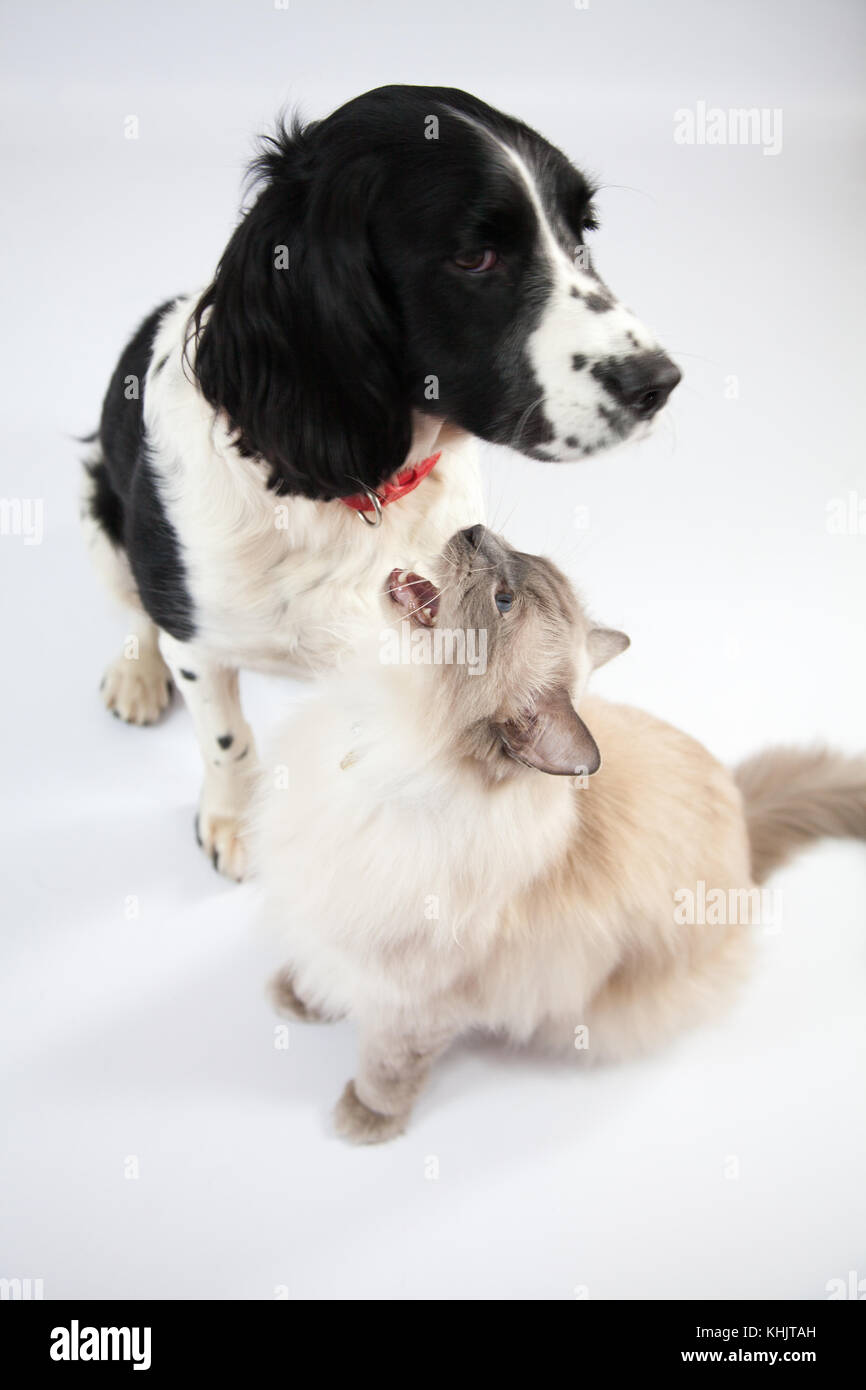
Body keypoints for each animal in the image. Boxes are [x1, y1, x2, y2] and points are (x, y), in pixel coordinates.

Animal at [86, 84, 683, 878]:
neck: (354, 493)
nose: (660, 383)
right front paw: (236, 819)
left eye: (579, 232)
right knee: (132, 605)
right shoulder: (197, 636)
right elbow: (225, 738)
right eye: (474, 256)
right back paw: (137, 674)